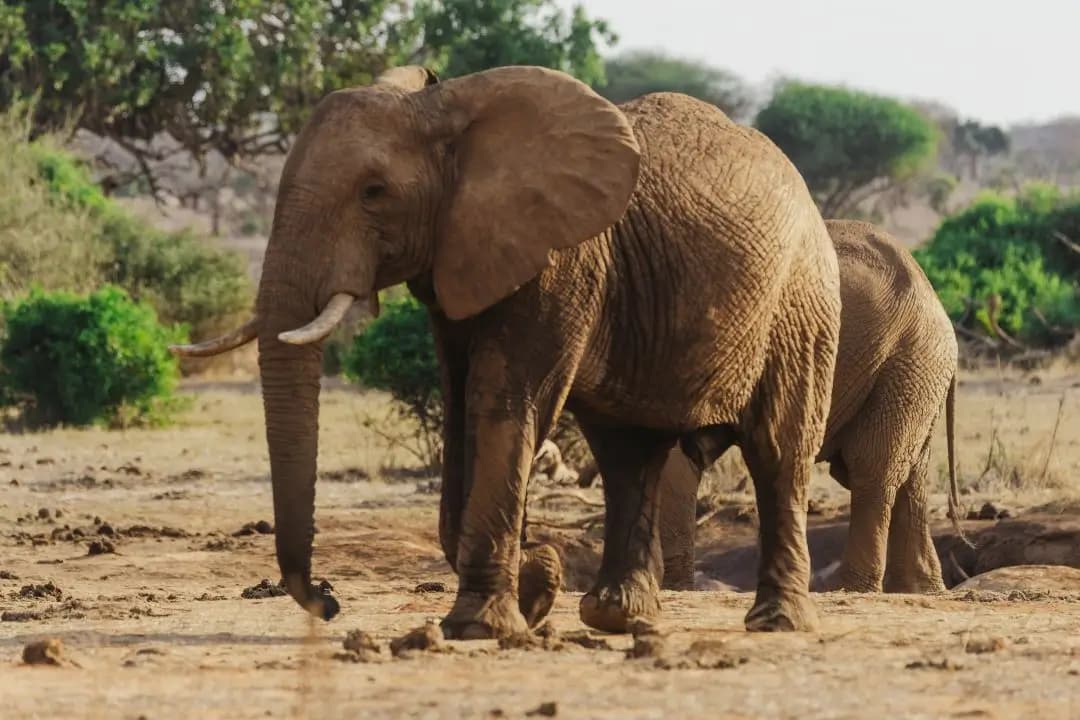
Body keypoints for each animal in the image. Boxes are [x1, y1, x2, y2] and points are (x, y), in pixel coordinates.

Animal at [170, 62, 842, 634]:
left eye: (373, 192)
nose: (328, 603)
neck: (448, 107)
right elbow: (461, 411)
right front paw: (533, 589)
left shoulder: (561, 258)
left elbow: (504, 402)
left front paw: (485, 623)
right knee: (629, 454)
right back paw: (617, 618)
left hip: (802, 302)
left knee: (778, 451)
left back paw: (776, 622)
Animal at [656, 220, 963, 595]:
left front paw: (670, 587)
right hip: (916, 370)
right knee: (910, 475)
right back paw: (919, 589)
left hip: (909, 360)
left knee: (871, 468)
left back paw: (850, 589)